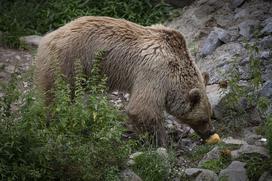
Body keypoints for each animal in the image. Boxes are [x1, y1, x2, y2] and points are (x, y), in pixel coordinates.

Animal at [35, 15, 216, 146]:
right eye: (203, 119)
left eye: (210, 115)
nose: (210, 132)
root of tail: (47, 37)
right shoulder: (154, 73)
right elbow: (142, 109)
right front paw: (162, 141)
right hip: (68, 61)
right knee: (56, 95)